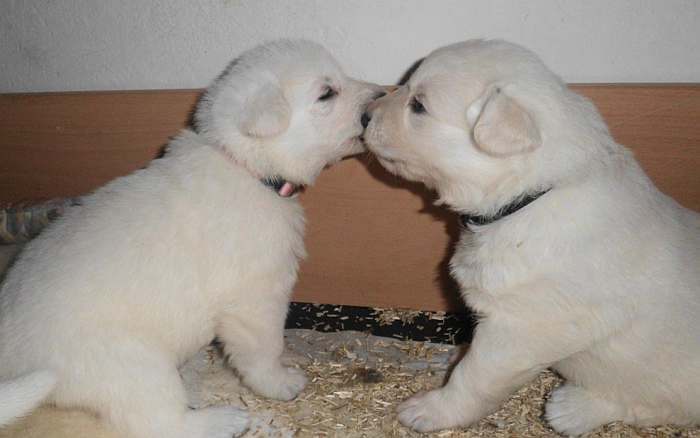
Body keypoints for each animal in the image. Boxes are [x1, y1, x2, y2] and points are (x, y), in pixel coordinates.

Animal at [0, 38, 382, 438]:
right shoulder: (256, 297)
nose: (382, 97)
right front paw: (280, 382)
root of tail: (8, 358)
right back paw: (223, 420)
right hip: (135, 366)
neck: (246, 167)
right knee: (161, 422)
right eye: (326, 93)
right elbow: (264, 348)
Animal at [364, 40, 700, 434]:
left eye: (418, 105)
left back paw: (571, 409)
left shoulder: (519, 329)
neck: (529, 196)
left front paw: (431, 410)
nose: (364, 115)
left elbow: (472, 376)